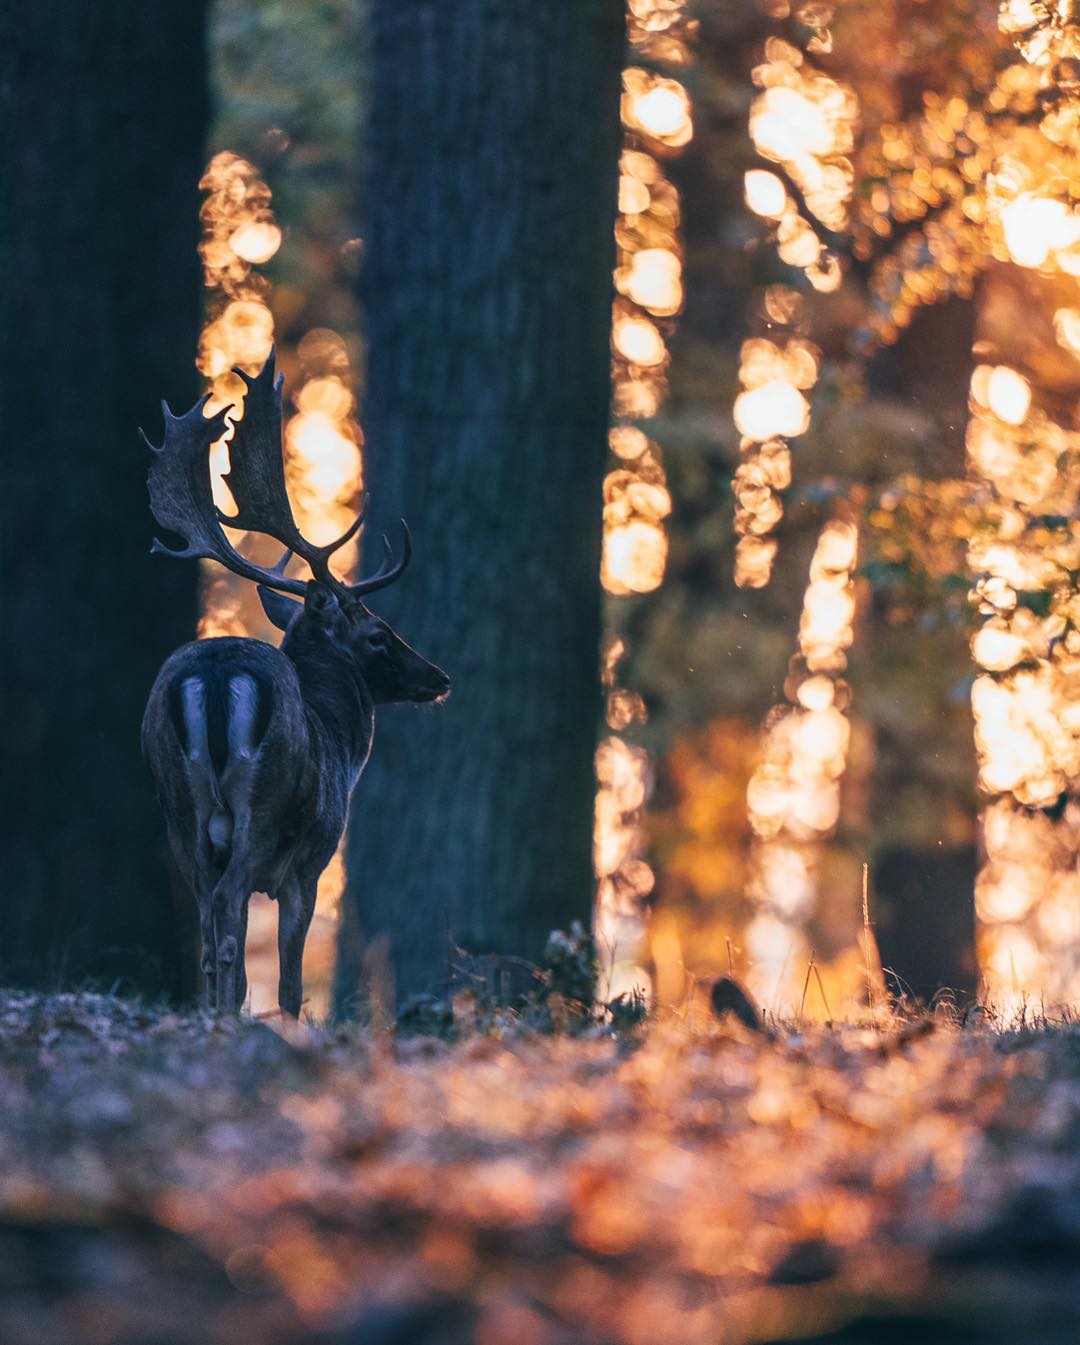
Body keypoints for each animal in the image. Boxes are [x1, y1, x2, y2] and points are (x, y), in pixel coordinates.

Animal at [141, 352, 449, 1011]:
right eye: (379, 633)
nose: (438, 677)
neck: (340, 741)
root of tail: (215, 674)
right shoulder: (310, 861)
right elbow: (290, 980)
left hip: (180, 811)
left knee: (208, 925)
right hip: (261, 807)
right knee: (228, 910)